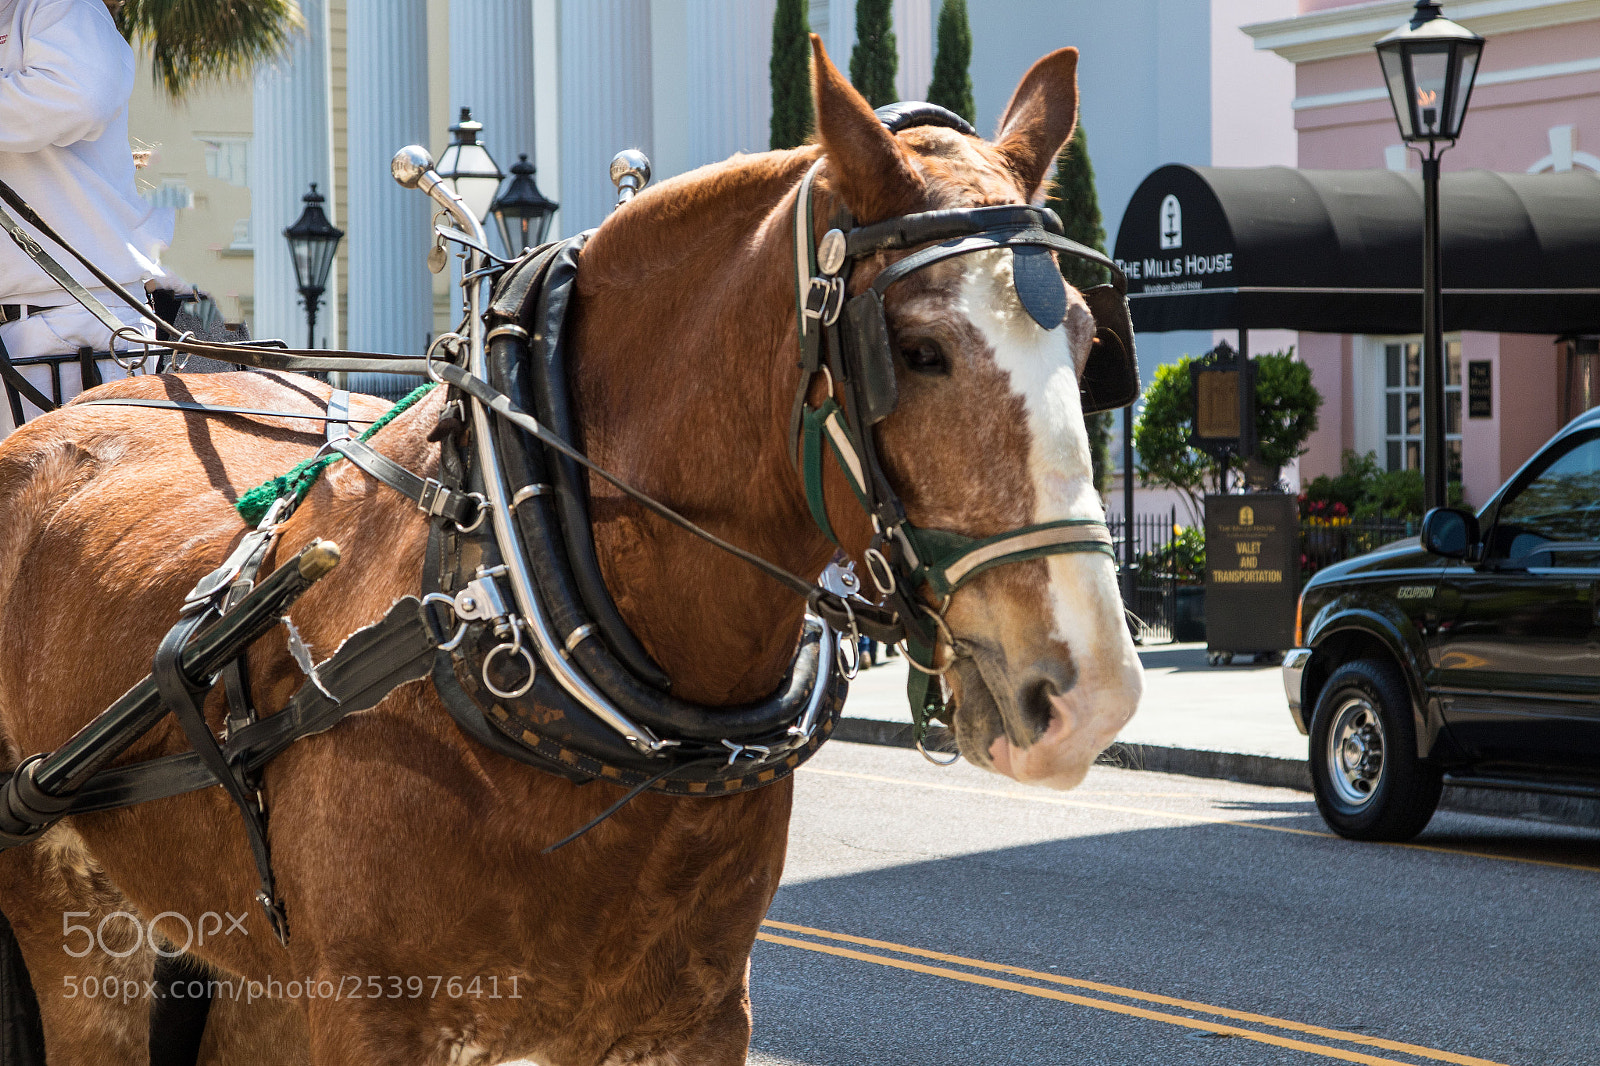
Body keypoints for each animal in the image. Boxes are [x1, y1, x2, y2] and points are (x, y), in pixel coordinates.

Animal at [0, 37, 1140, 1065]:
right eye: (916, 350)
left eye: (1090, 343)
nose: (1088, 692)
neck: (506, 584)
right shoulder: (371, 1017)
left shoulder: (691, 1021)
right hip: (72, 927)